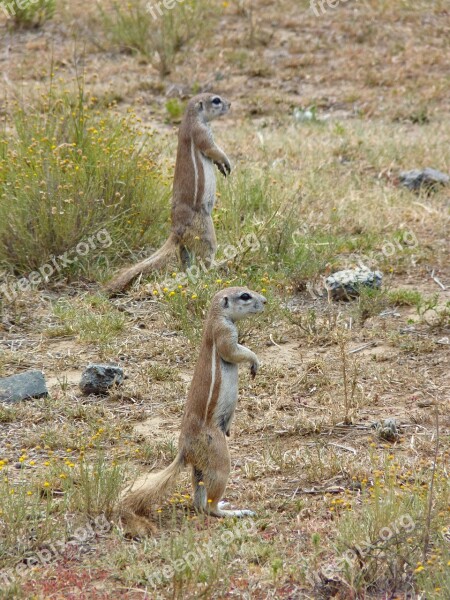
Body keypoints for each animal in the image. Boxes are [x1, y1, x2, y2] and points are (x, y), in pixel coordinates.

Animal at [106, 93, 232, 296]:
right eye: (216, 100)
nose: (230, 104)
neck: (192, 117)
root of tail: (176, 230)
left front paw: (222, 166)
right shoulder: (202, 133)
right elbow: (213, 149)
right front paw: (226, 162)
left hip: (185, 247)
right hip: (206, 232)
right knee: (204, 258)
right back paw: (216, 268)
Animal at [120, 288, 268, 536]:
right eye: (245, 296)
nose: (265, 301)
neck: (215, 316)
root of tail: (185, 450)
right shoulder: (224, 333)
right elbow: (235, 352)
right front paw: (254, 361)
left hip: (199, 470)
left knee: (199, 500)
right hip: (219, 458)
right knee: (209, 505)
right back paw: (232, 511)